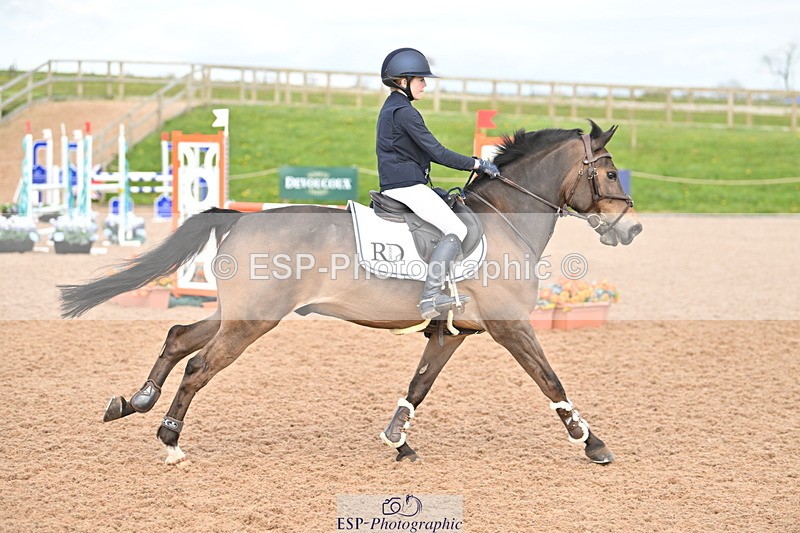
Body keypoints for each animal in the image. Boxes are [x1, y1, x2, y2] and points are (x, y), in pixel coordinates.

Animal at [59, 120, 642, 466]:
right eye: (612, 172)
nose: (632, 229)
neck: (505, 221)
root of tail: (239, 219)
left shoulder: (454, 333)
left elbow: (419, 385)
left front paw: (398, 441)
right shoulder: (510, 327)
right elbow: (550, 379)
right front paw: (592, 442)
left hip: (237, 313)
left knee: (180, 335)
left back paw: (133, 402)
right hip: (253, 321)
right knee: (199, 365)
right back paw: (170, 438)